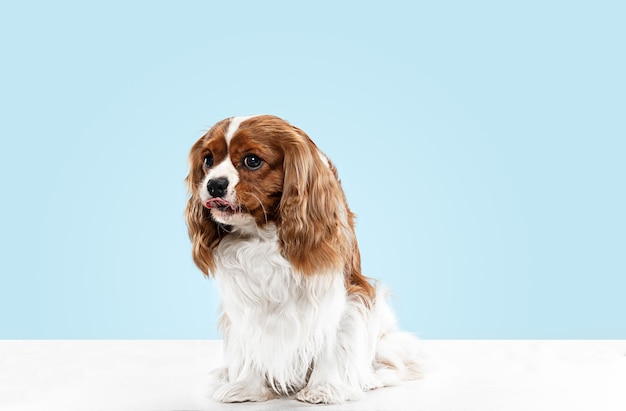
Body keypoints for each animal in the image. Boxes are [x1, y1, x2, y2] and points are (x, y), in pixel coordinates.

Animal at [185, 114, 420, 404]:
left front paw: (324, 388)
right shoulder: (245, 305)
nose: (214, 184)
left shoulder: (343, 295)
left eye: (252, 160)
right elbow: (251, 341)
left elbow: (331, 341)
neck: (262, 236)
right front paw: (247, 386)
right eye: (208, 160)